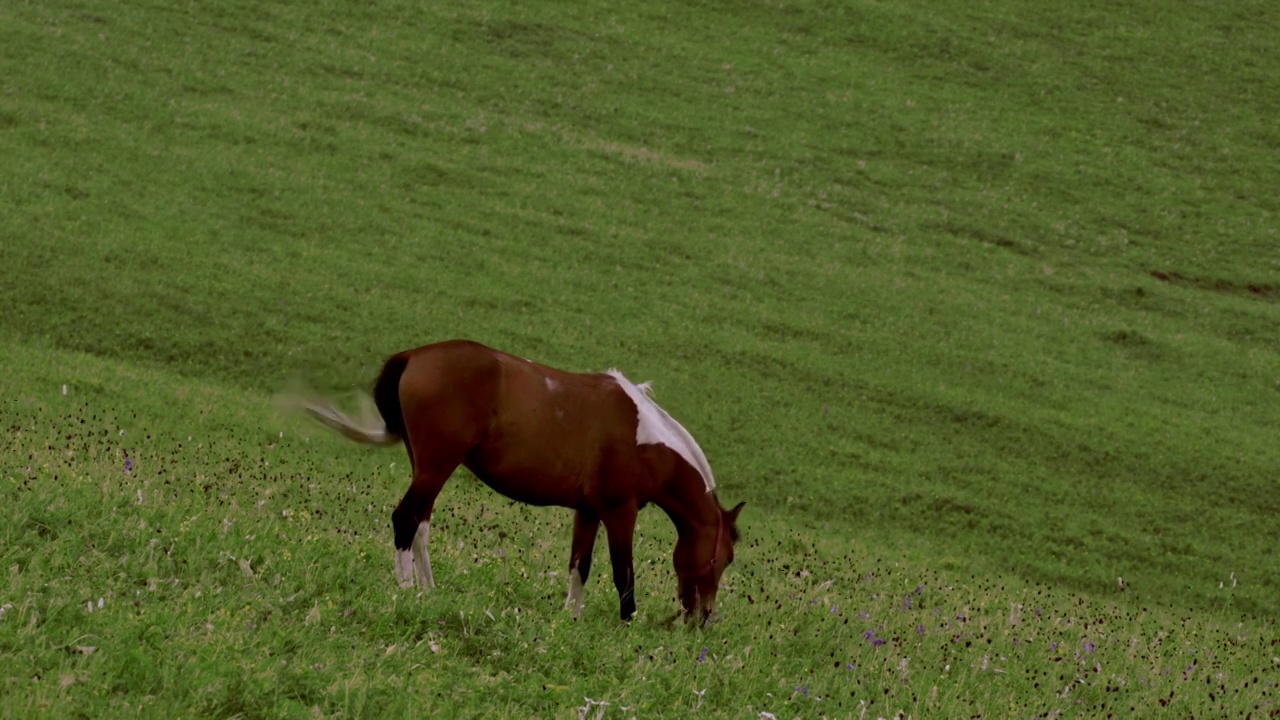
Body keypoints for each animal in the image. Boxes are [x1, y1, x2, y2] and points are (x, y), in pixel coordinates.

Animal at [293, 338, 742, 620]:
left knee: (420, 524)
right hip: (436, 466)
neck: (644, 437)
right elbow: (622, 572)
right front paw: (627, 622)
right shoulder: (620, 512)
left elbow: (580, 566)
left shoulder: (588, 511)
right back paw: (405, 590)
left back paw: (428, 590)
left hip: (427, 467)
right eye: (724, 559)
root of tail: (417, 356)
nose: (702, 618)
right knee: (405, 520)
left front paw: (571, 617)